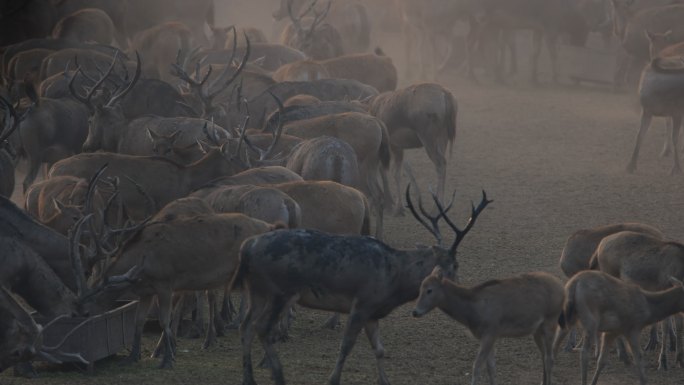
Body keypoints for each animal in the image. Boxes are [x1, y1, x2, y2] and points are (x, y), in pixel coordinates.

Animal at [235, 184, 492, 382]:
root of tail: (248, 246)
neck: (394, 281)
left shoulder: (373, 312)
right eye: (456, 265)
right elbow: (346, 346)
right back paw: (278, 374)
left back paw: (249, 379)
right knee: (262, 328)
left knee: (246, 326)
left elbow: (379, 350)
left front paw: (385, 381)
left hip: (257, 290)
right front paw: (332, 380)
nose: (462, 288)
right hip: (280, 291)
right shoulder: (362, 303)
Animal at [408, 268, 564, 384]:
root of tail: (562, 286)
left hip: (551, 320)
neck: (472, 313)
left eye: (429, 290)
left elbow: (476, 366)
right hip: (537, 330)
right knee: (544, 355)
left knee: (549, 358)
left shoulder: (490, 332)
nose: (415, 312)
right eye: (420, 287)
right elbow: (491, 367)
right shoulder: (490, 335)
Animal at [552, 270, 684, 384]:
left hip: (568, 320)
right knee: (584, 353)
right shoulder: (632, 329)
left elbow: (602, 361)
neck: (648, 310)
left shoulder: (611, 332)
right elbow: (639, 359)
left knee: (554, 346)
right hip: (591, 322)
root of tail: (574, 284)